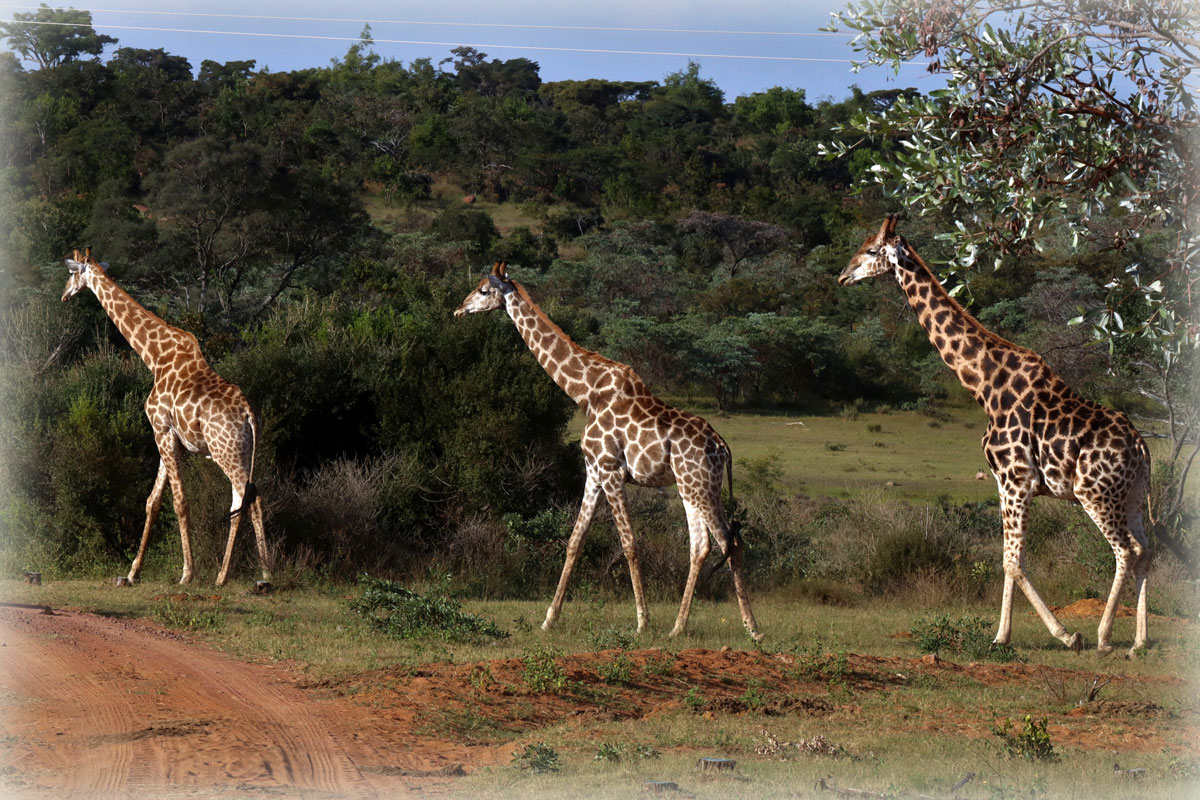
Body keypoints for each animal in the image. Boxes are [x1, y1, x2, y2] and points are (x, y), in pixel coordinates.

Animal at [61, 250, 272, 587]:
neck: (154, 357)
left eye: (71, 273)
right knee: (244, 498)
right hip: (244, 452)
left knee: (246, 498)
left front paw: (187, 573)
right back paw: (255, 573)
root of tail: (249, 415)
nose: (65, 295)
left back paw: (232, 575)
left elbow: (179, 502)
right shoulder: (170, 437)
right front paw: (132, 572)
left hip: (226, 452)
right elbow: (153, 501)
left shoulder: (160, 429)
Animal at [453, 261, 753, 638]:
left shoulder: (611, 470)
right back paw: (678, 628)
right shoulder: (593, 471)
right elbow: (574, 541)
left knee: (731, 543)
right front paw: (549, 619)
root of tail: (723, 447)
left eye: (482, 290)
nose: (458, 309)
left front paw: (641, 621)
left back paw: (752, 629)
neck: (584, 392)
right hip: (691, 488)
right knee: (702, 547)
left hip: (702, 487)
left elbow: (629, 543)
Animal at [840, 215, 1147, 652]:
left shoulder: (1017, 480)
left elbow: (1013, 562)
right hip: (1132, 493)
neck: (984, 387)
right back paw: (1139, 642)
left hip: (1095, 493)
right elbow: (1008, 560)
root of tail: (1140, 446)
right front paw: (1002, 636)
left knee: (1125, 550)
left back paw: (1104, 637)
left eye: (870, 250)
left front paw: (1066, 634)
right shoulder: (1003, 483)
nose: (843, 275)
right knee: (1145, 550)